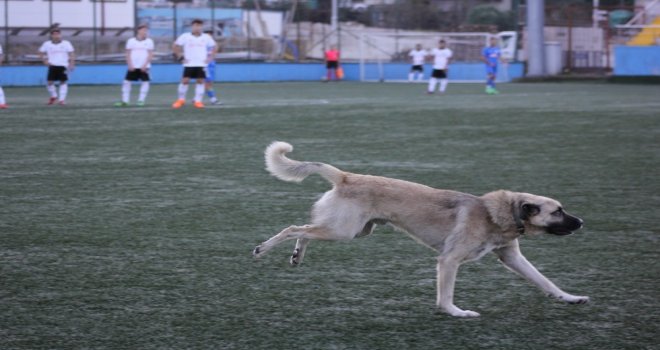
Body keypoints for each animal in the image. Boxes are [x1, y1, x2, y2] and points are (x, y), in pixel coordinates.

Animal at [253, 142, 588, 318]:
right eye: (558, 212)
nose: (582, 222)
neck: (497, 214)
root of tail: (346, 176)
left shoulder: (512, 258)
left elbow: (545, 281)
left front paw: (570, 298)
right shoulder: (449, 261)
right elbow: (446, 295)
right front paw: (456, 313)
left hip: (355, 230)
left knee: (304, 230)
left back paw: (296, 256)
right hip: (343, 231)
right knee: (293, 228)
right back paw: (263, 249)